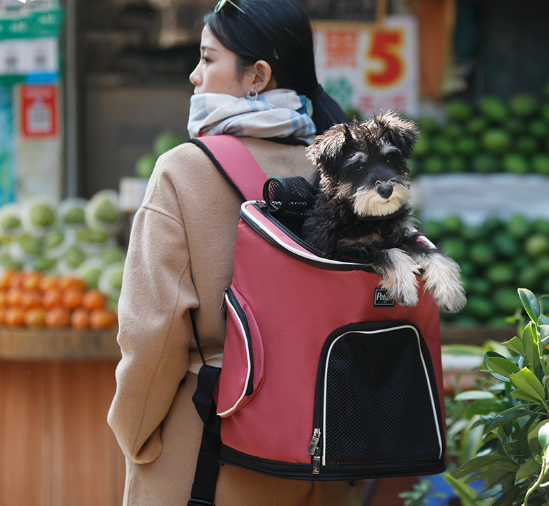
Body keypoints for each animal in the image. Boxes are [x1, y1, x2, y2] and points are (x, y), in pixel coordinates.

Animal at [302, 111, 464, 312]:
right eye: (358, 166)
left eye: (389, 159)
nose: (386, 190)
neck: (372, 218)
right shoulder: (341, 252)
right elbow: (387, 252)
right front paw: (405, 287)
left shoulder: (402, 236)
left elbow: (430, 252)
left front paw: (449, 292)